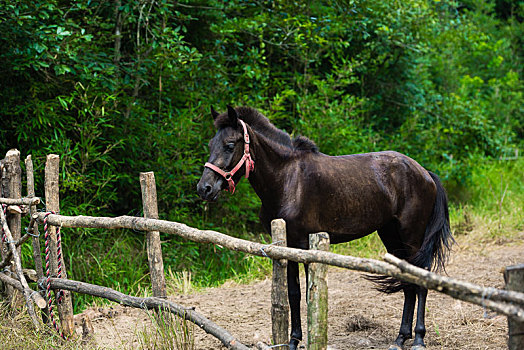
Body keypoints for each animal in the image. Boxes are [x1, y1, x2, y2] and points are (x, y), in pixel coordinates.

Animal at [199, 106, 452, 350]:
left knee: (421, 282)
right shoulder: (287, 247)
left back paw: (418, 339)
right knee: (408, 283)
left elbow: (309, 295)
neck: (287, 179)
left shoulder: (305, 246)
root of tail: (425, 173)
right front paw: (293, 341)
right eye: (210, 145)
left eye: (230, 145)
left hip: (412, 236)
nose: (204, 188)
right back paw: (400, 339)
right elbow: (293, 294)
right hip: (391, 234)